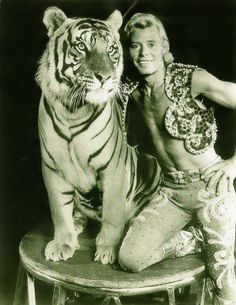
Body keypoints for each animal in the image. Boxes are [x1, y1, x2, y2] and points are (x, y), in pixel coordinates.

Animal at [35, 6, 160, 264]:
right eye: (82, 46)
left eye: (111, 49)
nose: (105, 77)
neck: (72, 111)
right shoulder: (52, 167)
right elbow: (58, 210)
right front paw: (62, 244)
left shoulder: (112, 167)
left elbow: (112, 213)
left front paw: (108, 250)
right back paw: (77, 221)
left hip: (150, 163)